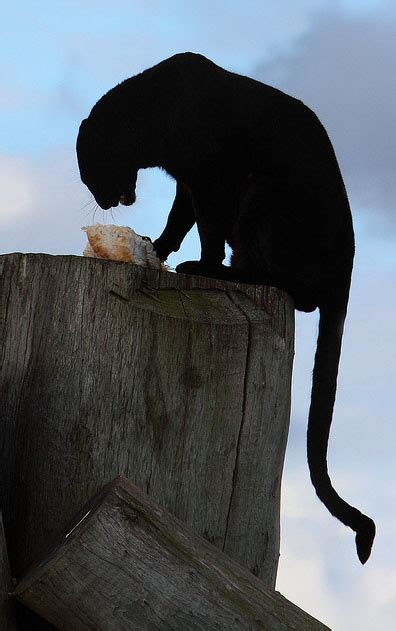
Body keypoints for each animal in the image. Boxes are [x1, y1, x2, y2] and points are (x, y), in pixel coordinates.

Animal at [76, 50, 374, 564]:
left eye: (90, 169)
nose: (107, 199)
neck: (152, 115)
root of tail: (347, 265)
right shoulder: (188, 181)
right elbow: (180, 219)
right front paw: (157, 248)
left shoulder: (209, 178)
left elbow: (206, 227)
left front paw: (198, 264)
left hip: (262, 196)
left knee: (289, 288)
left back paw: (220, 273)